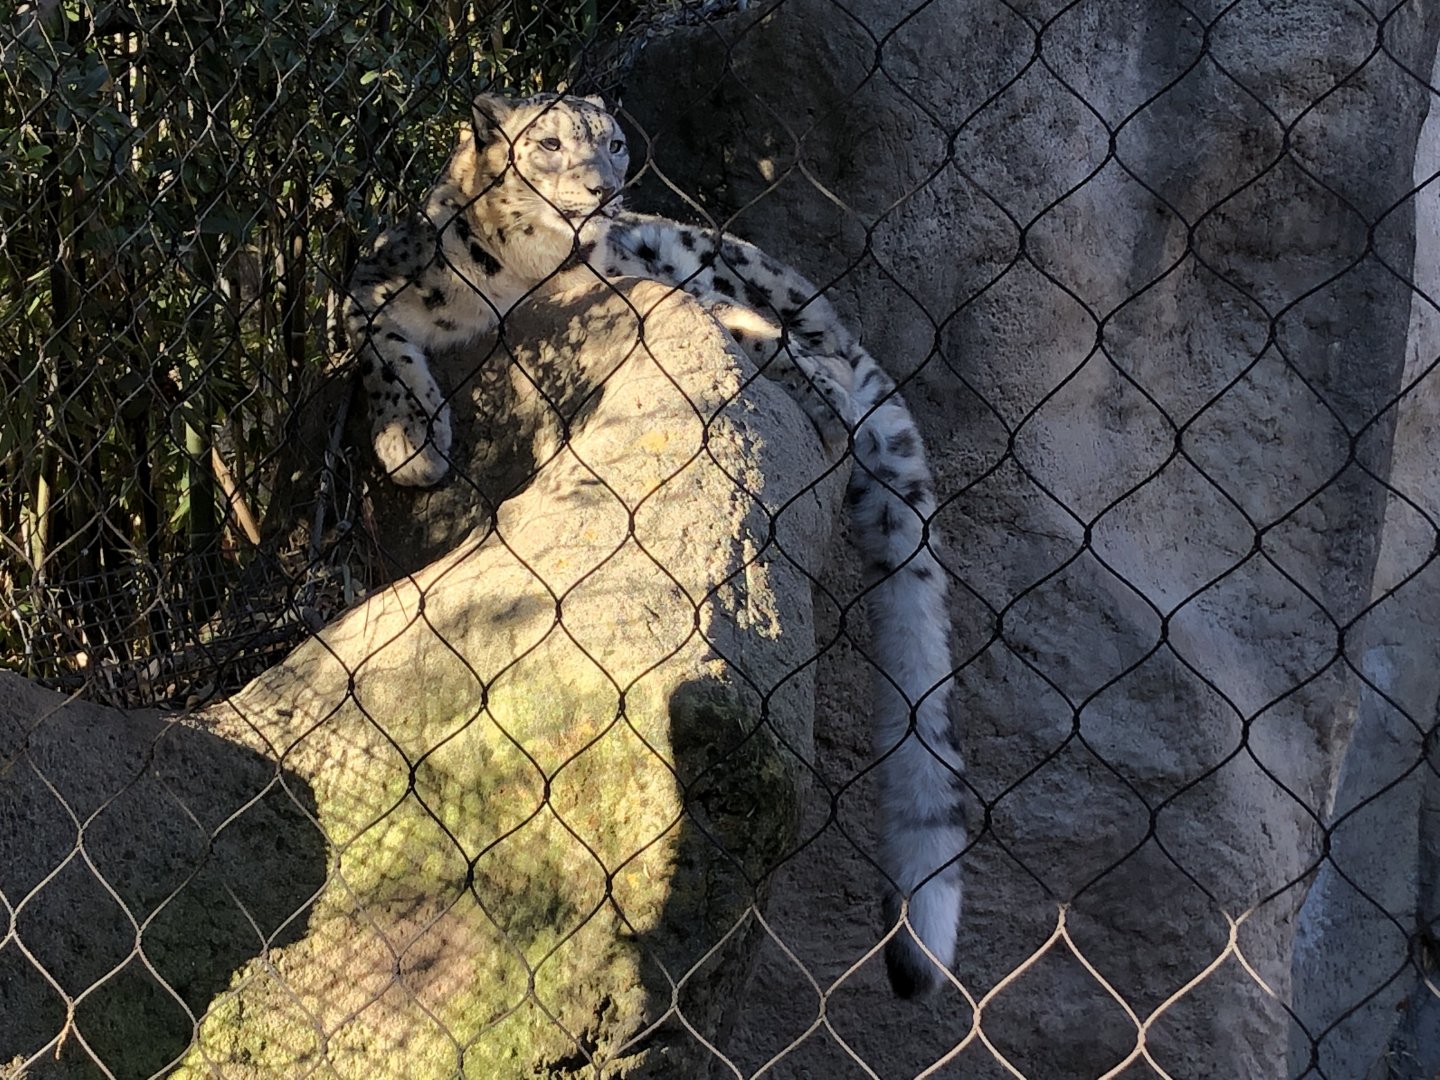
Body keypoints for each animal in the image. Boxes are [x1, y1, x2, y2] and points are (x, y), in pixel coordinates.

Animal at [344, 91, 966, 998]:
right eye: (547, 142)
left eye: (611, 142)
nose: (601, 189)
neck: (524, 277)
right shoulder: (375, 284)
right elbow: (381, 347)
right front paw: (412, 441)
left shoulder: (614, 279)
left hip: (704, 266)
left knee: (790, 343)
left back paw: (816, 384)